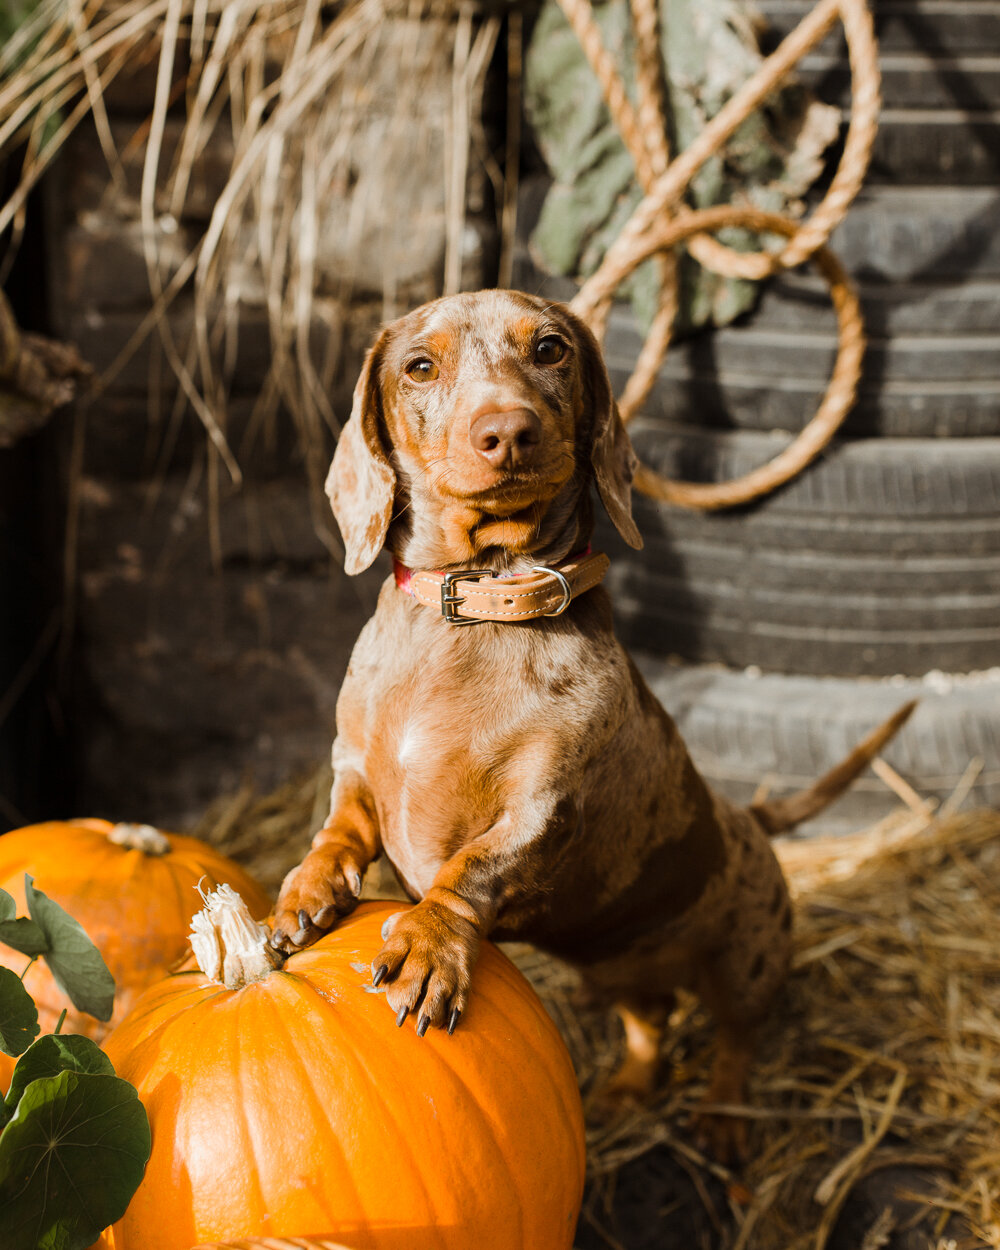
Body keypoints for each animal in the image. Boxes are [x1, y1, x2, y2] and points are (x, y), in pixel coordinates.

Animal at [273, 287, 915, 1155]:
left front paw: (427, 942)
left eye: (550, 349)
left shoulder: (544, 810)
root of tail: (746, 820)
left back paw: (721, 1118)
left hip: (748, 961)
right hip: (618, 969)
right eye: (418, 366)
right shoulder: (355, 770)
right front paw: (304, 892)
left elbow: (470, 868)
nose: (507, 431)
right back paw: (631, 1087)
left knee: (737, 1040)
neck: (478, 607)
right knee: (653, 1020)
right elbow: (339, 830)